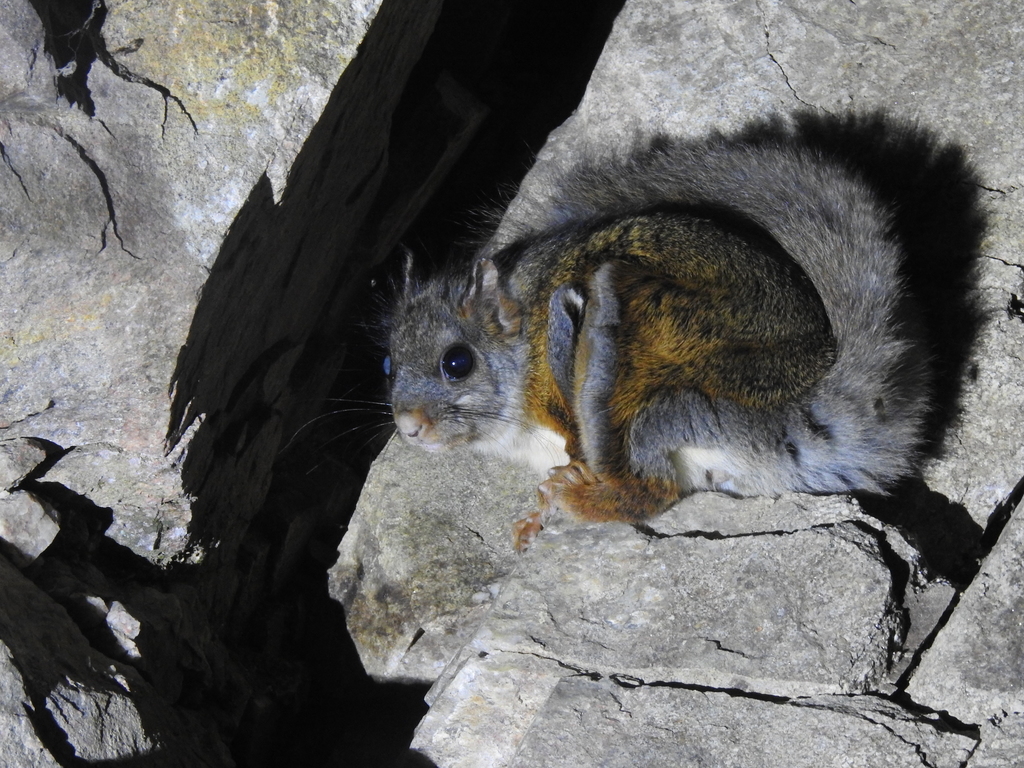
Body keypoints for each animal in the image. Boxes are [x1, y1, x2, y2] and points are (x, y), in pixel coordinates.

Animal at [384, 124, 931, 550]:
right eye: (388, 364)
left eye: (457, 362)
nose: (407, 427)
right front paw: (531, 520)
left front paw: (565, 487)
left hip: (667, 393)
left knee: (651, 488)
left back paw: (581, 495)